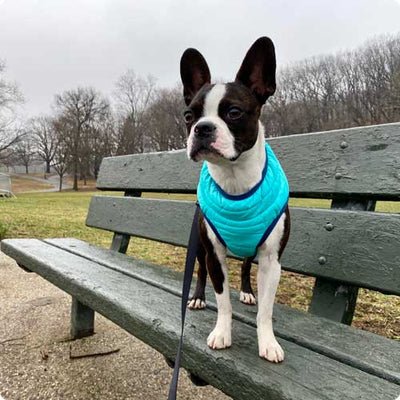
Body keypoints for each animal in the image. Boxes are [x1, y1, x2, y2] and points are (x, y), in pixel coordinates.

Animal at [180, 37, 290, 362]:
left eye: (234, 113)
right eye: (188, 116)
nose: (202, 128)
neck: (234, 179)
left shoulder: (271, 260)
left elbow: (266, 311)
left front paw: (268, 342)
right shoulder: (214, 253)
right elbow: (222, 301)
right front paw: (221, 333)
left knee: (244, 267)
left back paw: (247, 292)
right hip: (201, 247)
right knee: (201, 271)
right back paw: (197, 298)